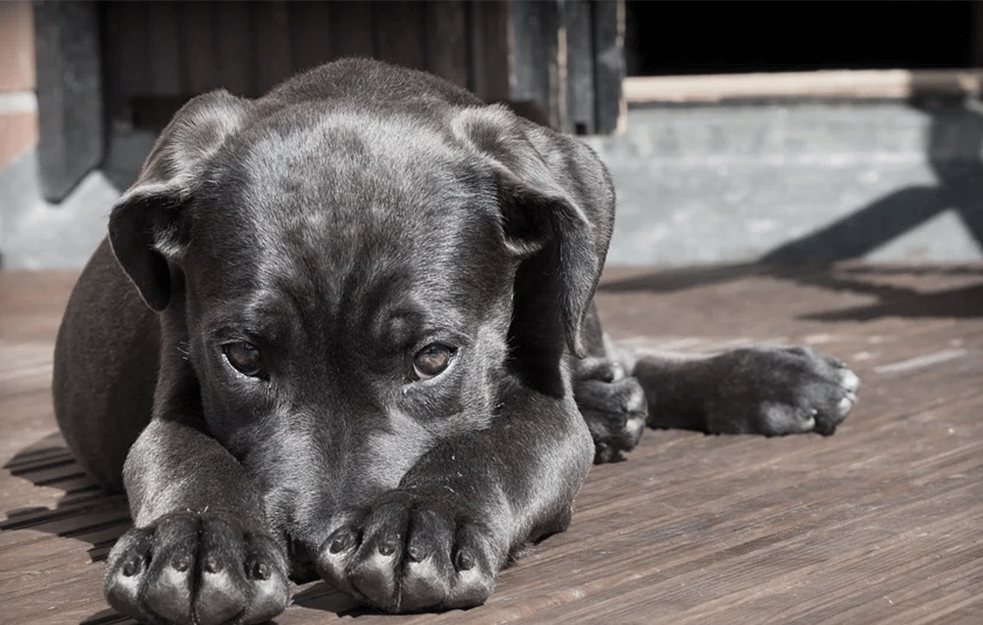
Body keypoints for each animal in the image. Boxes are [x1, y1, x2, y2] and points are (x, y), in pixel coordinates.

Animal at [53, 57, 856, 620]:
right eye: (243, 357)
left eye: (433, 357)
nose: (311, 544)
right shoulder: (177, 384)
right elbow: (186, 455)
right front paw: (197, 542)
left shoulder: (543, 400)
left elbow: (491, 447)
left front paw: (419, 523)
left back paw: (768, 378)